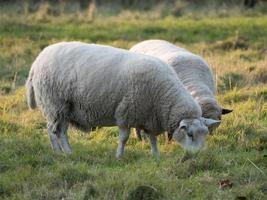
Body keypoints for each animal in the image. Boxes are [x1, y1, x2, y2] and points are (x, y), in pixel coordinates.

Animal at [26, 41, 221, 158]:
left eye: (205, 134)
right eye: (189, 134)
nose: (196, 156)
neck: (164, 96)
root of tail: (36, 62)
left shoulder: (149, 116)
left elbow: (152, 138)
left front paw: (156, 155)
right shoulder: (125, 113)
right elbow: (124, 139)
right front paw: (119, 156)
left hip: (65, 109)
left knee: (60, 131)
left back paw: (64, 151)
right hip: (54, 105)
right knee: (53, 131)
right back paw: (61, 152)